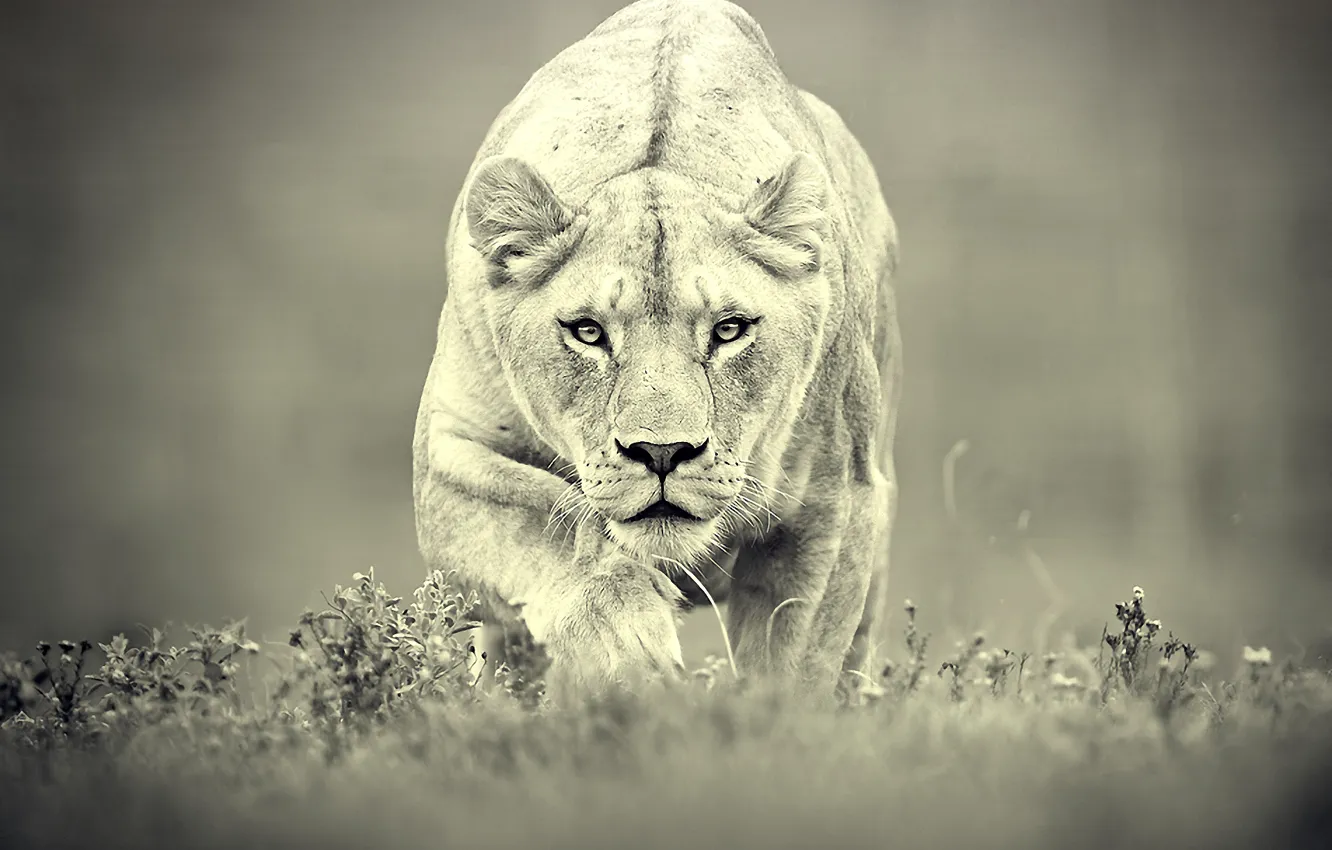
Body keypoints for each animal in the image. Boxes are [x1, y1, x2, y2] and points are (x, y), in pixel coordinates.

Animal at [412, 0, 901, 703]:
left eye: (728, 330)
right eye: (588, 332)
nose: (662, 453)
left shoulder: (835, 502)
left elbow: (793, 667)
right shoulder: (447, 457)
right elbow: (553, 522)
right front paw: (630, 652)